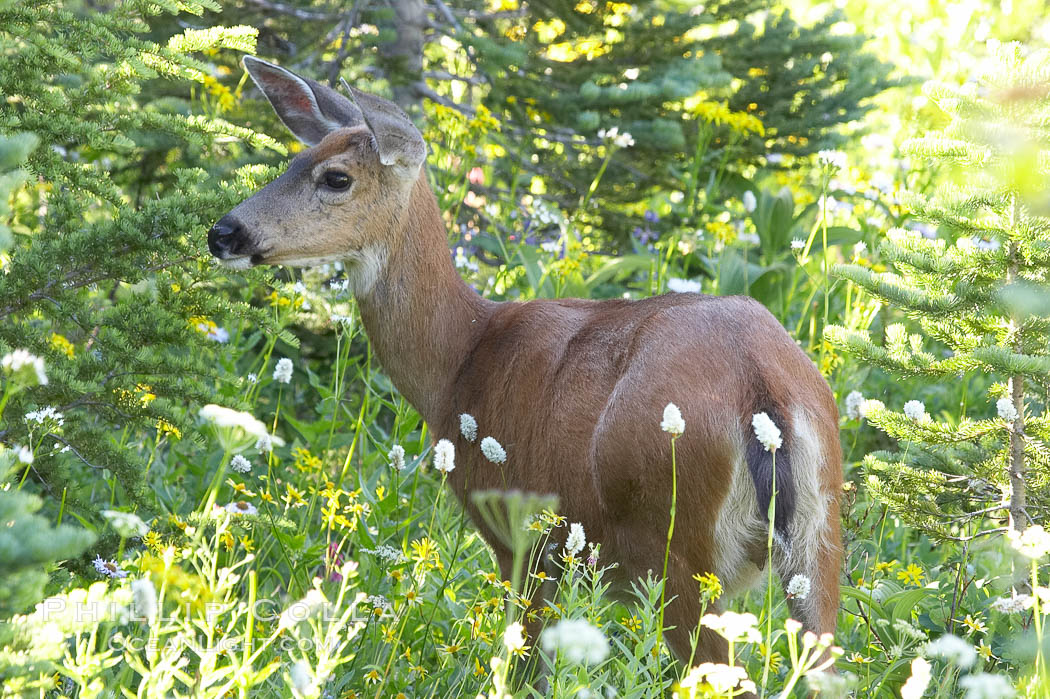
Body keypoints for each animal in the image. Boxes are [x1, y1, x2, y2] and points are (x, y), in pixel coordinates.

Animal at [208, 57, 839, 667]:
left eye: (336, 178)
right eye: (295, 160)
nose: (223, 232)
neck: (460, 361)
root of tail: (760, 385)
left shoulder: (522, 538)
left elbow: (523, 665)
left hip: (675, 549)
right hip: (819, 539)